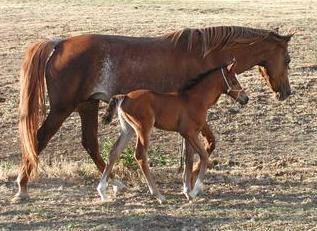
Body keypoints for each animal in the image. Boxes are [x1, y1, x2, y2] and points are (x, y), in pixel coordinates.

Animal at [96, 60, 247, 203]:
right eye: (234, 81)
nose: (246, 98)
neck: (196, 99)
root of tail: (125, 96)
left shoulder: (189, 134)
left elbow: (188, 159)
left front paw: (187, 192)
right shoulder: (189, 133)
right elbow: (203, 155)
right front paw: (195, 191)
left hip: (128, 129)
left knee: (114, 152)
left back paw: (102, 191)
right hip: (143, 129)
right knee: (140, 155)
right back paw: (158, 195)